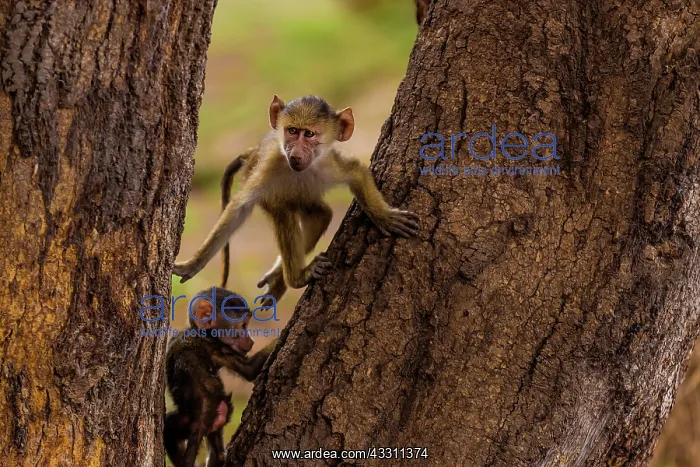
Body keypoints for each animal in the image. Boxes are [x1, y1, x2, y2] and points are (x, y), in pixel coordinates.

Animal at [164, 287, 276, 467]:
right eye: (243, 326)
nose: (251, 341)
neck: (201, 334)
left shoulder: (218, 349)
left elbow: (250, 370)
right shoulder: (217, 349)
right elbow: (250, 370)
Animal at [173, 95, 420, 302]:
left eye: (309, 134)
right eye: (292, 131)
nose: (296, 154)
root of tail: (254, 150)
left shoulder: (330, 163)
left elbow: (357, 172)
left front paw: (384, 216)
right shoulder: (269, 166)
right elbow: (240, 207)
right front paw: (193, 263)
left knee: (320, 215)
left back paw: (281, 277)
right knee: (285, 214)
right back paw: (298, 277)